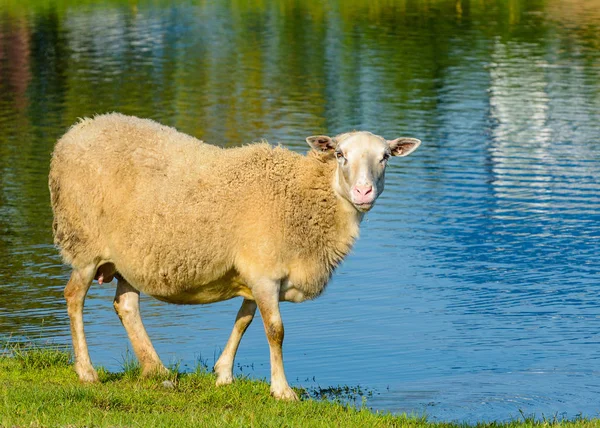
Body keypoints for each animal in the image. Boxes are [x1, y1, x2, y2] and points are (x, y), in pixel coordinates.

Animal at [49, 112, 420, 400]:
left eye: (385, 157)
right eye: (340, 154)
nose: (363, 192)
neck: (304, 198)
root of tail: (75, 131)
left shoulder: (256, 271)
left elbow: (244, 320)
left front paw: (223, 373)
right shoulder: (265, 274)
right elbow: (275, 330)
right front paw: (282, 391)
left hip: (130, 256)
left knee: (126, 305)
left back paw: (156, 369)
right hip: (84, 243)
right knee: (74, 297)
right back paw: (87, 371)